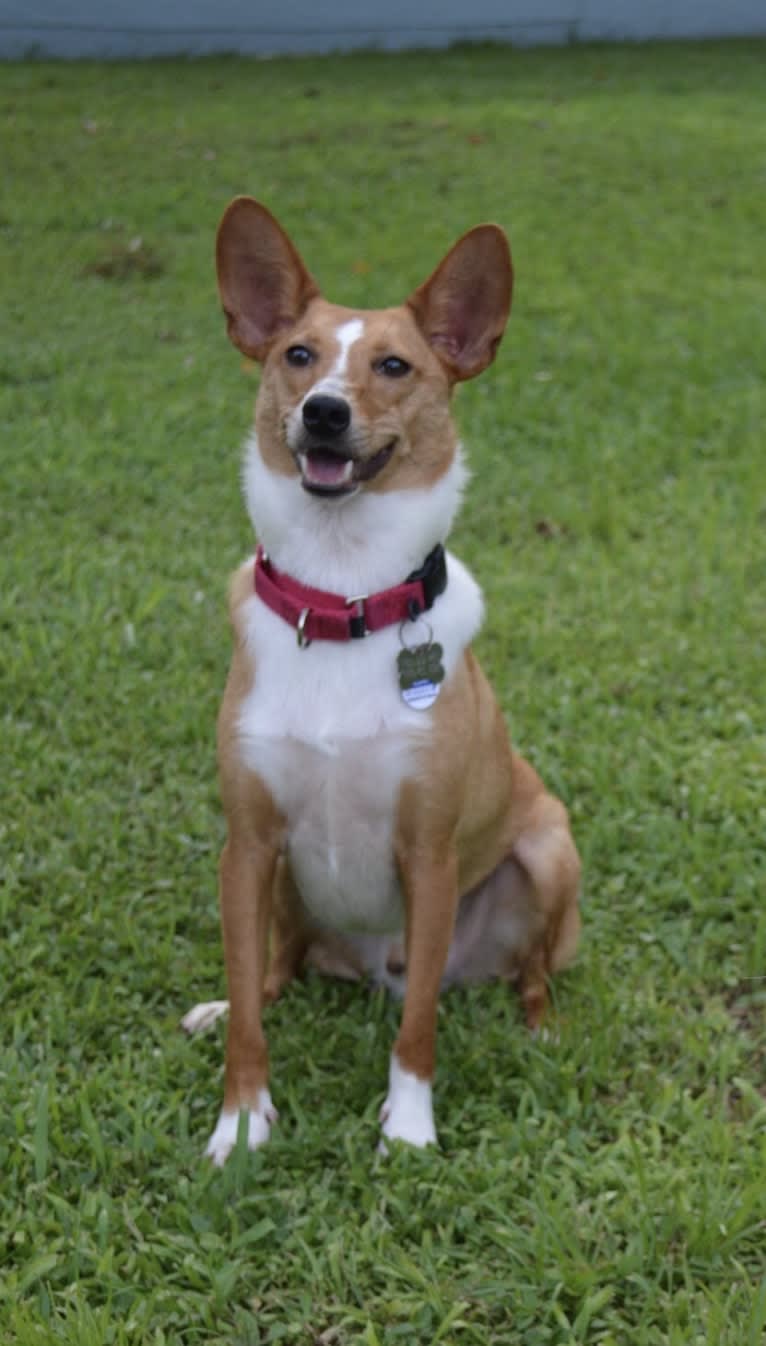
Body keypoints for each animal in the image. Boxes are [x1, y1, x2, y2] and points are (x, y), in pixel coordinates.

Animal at [183, 195, 578, 1162]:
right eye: (297, 356)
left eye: (394, 365)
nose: (323, 412)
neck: (340, 594)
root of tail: (370, 971)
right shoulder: (248, 844)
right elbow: (250, 1009)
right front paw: (240, 1123)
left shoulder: (429, 855)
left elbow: (420, 1027)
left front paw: (408, 1129)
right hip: (285, 886)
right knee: (277, 971)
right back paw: (218, 1007)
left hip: (550, 849)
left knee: (527, 974)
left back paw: (541, 1030)